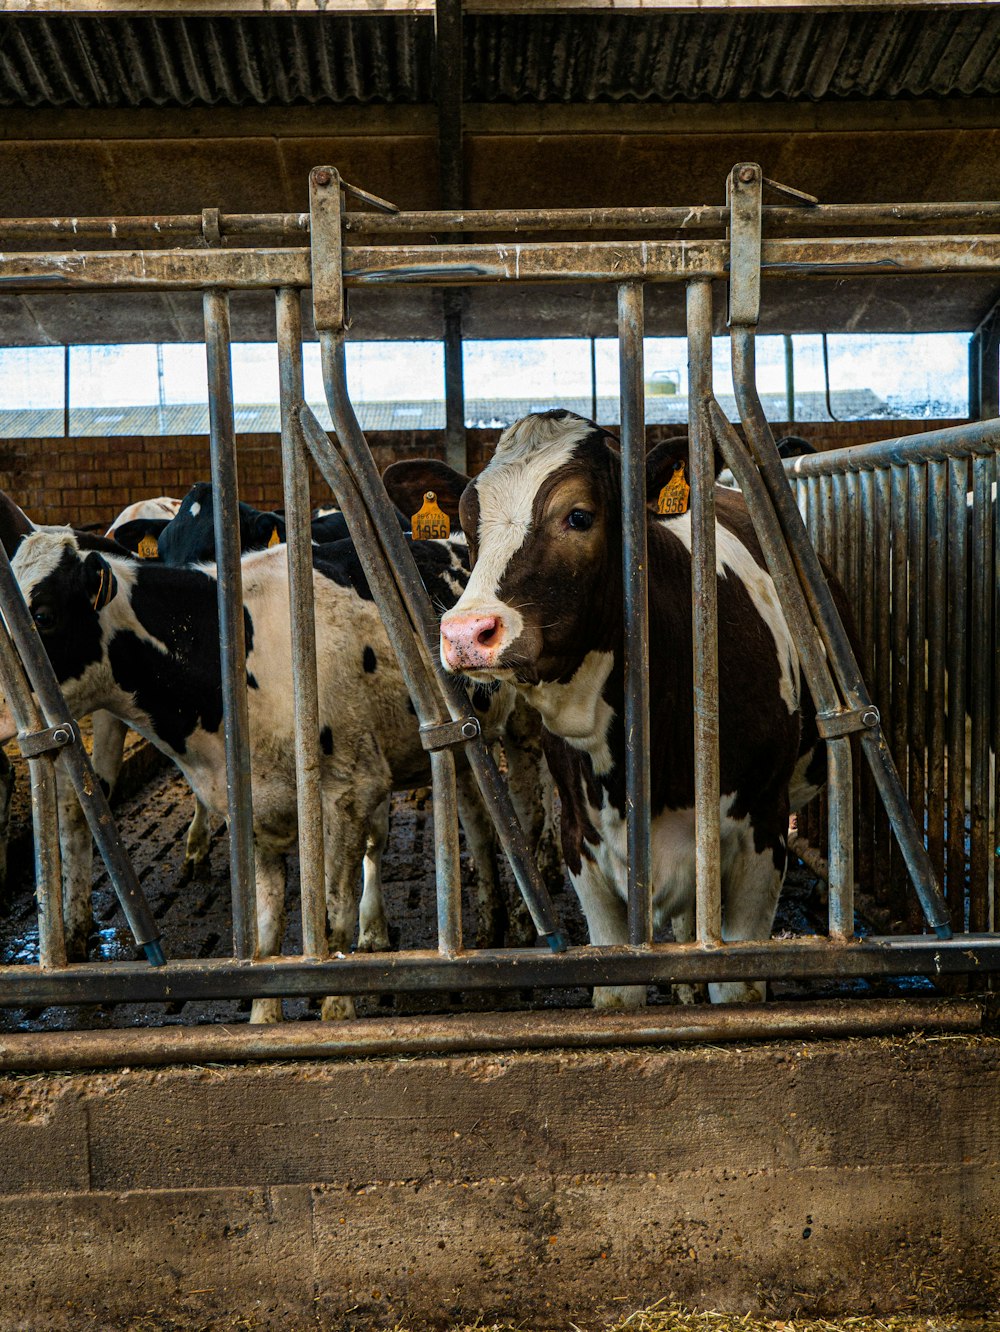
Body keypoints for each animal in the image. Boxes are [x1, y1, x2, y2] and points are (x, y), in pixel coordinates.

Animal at [442, 410, 846, 1001]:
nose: (466, 632)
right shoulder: (582, 845)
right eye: (469, 521)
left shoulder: (764, 831)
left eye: (579, 516)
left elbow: (737, 986)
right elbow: (618, 989)